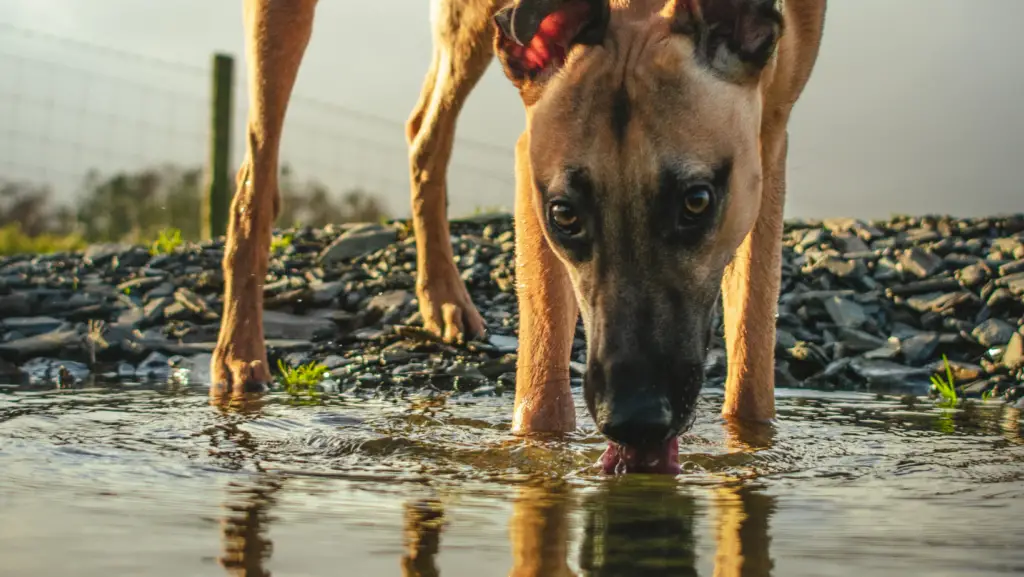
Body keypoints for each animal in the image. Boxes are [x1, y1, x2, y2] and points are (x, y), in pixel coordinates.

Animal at [211, 0, 827, 473]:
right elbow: (544, 392)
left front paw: (750, 451)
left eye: (696, 201)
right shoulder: (533, 163)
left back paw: (442, 298)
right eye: (565, 215)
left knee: (424, 134)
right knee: (253, 186)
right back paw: (239, 355)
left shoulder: (768, 141)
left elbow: (752, 363)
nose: (635, 420)